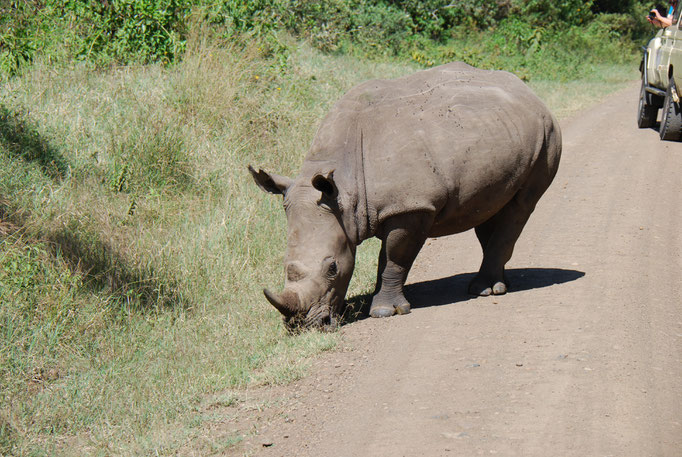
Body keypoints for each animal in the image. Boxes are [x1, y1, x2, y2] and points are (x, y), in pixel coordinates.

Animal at [248, 62, 556, 328]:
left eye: (332, 268)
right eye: (283, 264)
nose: (302, 326)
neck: (344, 192)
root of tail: (531, 93)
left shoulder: (411, 206)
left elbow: (394, 258)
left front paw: (384, 311)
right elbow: (386, 258)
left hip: (547, 134)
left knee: (521, 206)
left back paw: (485, 290)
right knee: (490, 210)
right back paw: (494, 285)